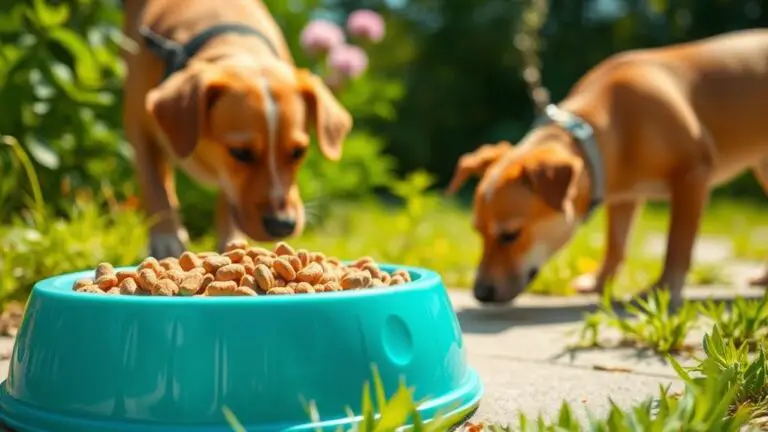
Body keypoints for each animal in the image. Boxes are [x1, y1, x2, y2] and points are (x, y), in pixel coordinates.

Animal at [123, 0, 354, 256]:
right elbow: (156, 187)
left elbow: (228, 200)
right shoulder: (140, 129)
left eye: (298, 152)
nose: (283, 225)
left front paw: (231, 242)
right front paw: (166, 240)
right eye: (240, 153)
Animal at [448, 29, 764, 308]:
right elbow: (615, 244)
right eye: (478, 232)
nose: (480, 293)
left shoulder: (693, 173)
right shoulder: (624, 198)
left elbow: (677, 244)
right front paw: (600, 283)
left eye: (510, 235)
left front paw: (663, 289)